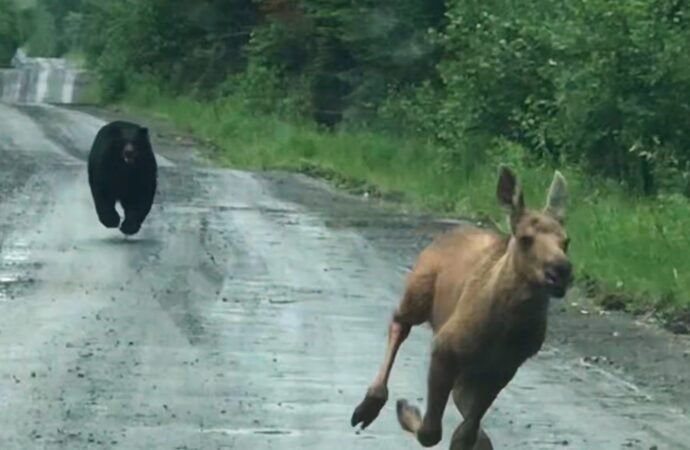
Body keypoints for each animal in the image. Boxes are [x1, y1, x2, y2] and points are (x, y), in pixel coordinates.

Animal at [350, 166, 573, 449]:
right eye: (525, 238)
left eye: (566, 241)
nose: (561, 271)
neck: (506, 328)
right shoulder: (444, 348)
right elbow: (432, 432)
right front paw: (407, 411)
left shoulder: (503, 369)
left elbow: (466, 431)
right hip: (418, 291)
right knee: (400, 322)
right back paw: (371, 404)